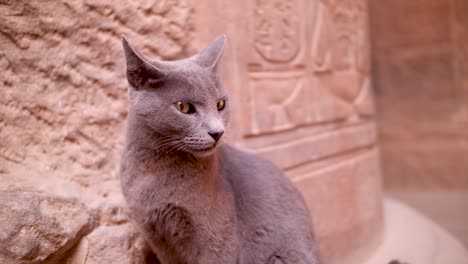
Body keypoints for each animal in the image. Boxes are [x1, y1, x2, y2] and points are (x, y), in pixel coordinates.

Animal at [119, 35, 318, 264]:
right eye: (183, 107)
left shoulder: (218, 239)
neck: (155, 169)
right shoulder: (158, 238)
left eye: (220, 104)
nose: (217, 132)